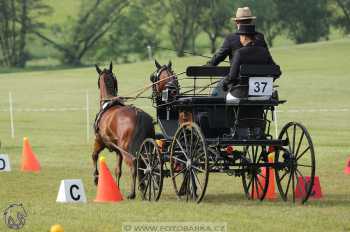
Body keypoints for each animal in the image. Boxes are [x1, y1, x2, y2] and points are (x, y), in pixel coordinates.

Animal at [93, 62, 154, 199]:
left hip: (126, 148)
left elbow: (94, 155)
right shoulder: (118, 151)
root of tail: (138, 114)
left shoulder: (99, 141)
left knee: (134, 163)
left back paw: (133, 193)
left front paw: (96, 177)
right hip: (146, 147)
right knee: (145, 164)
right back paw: (144, 188)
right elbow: (118, 170)